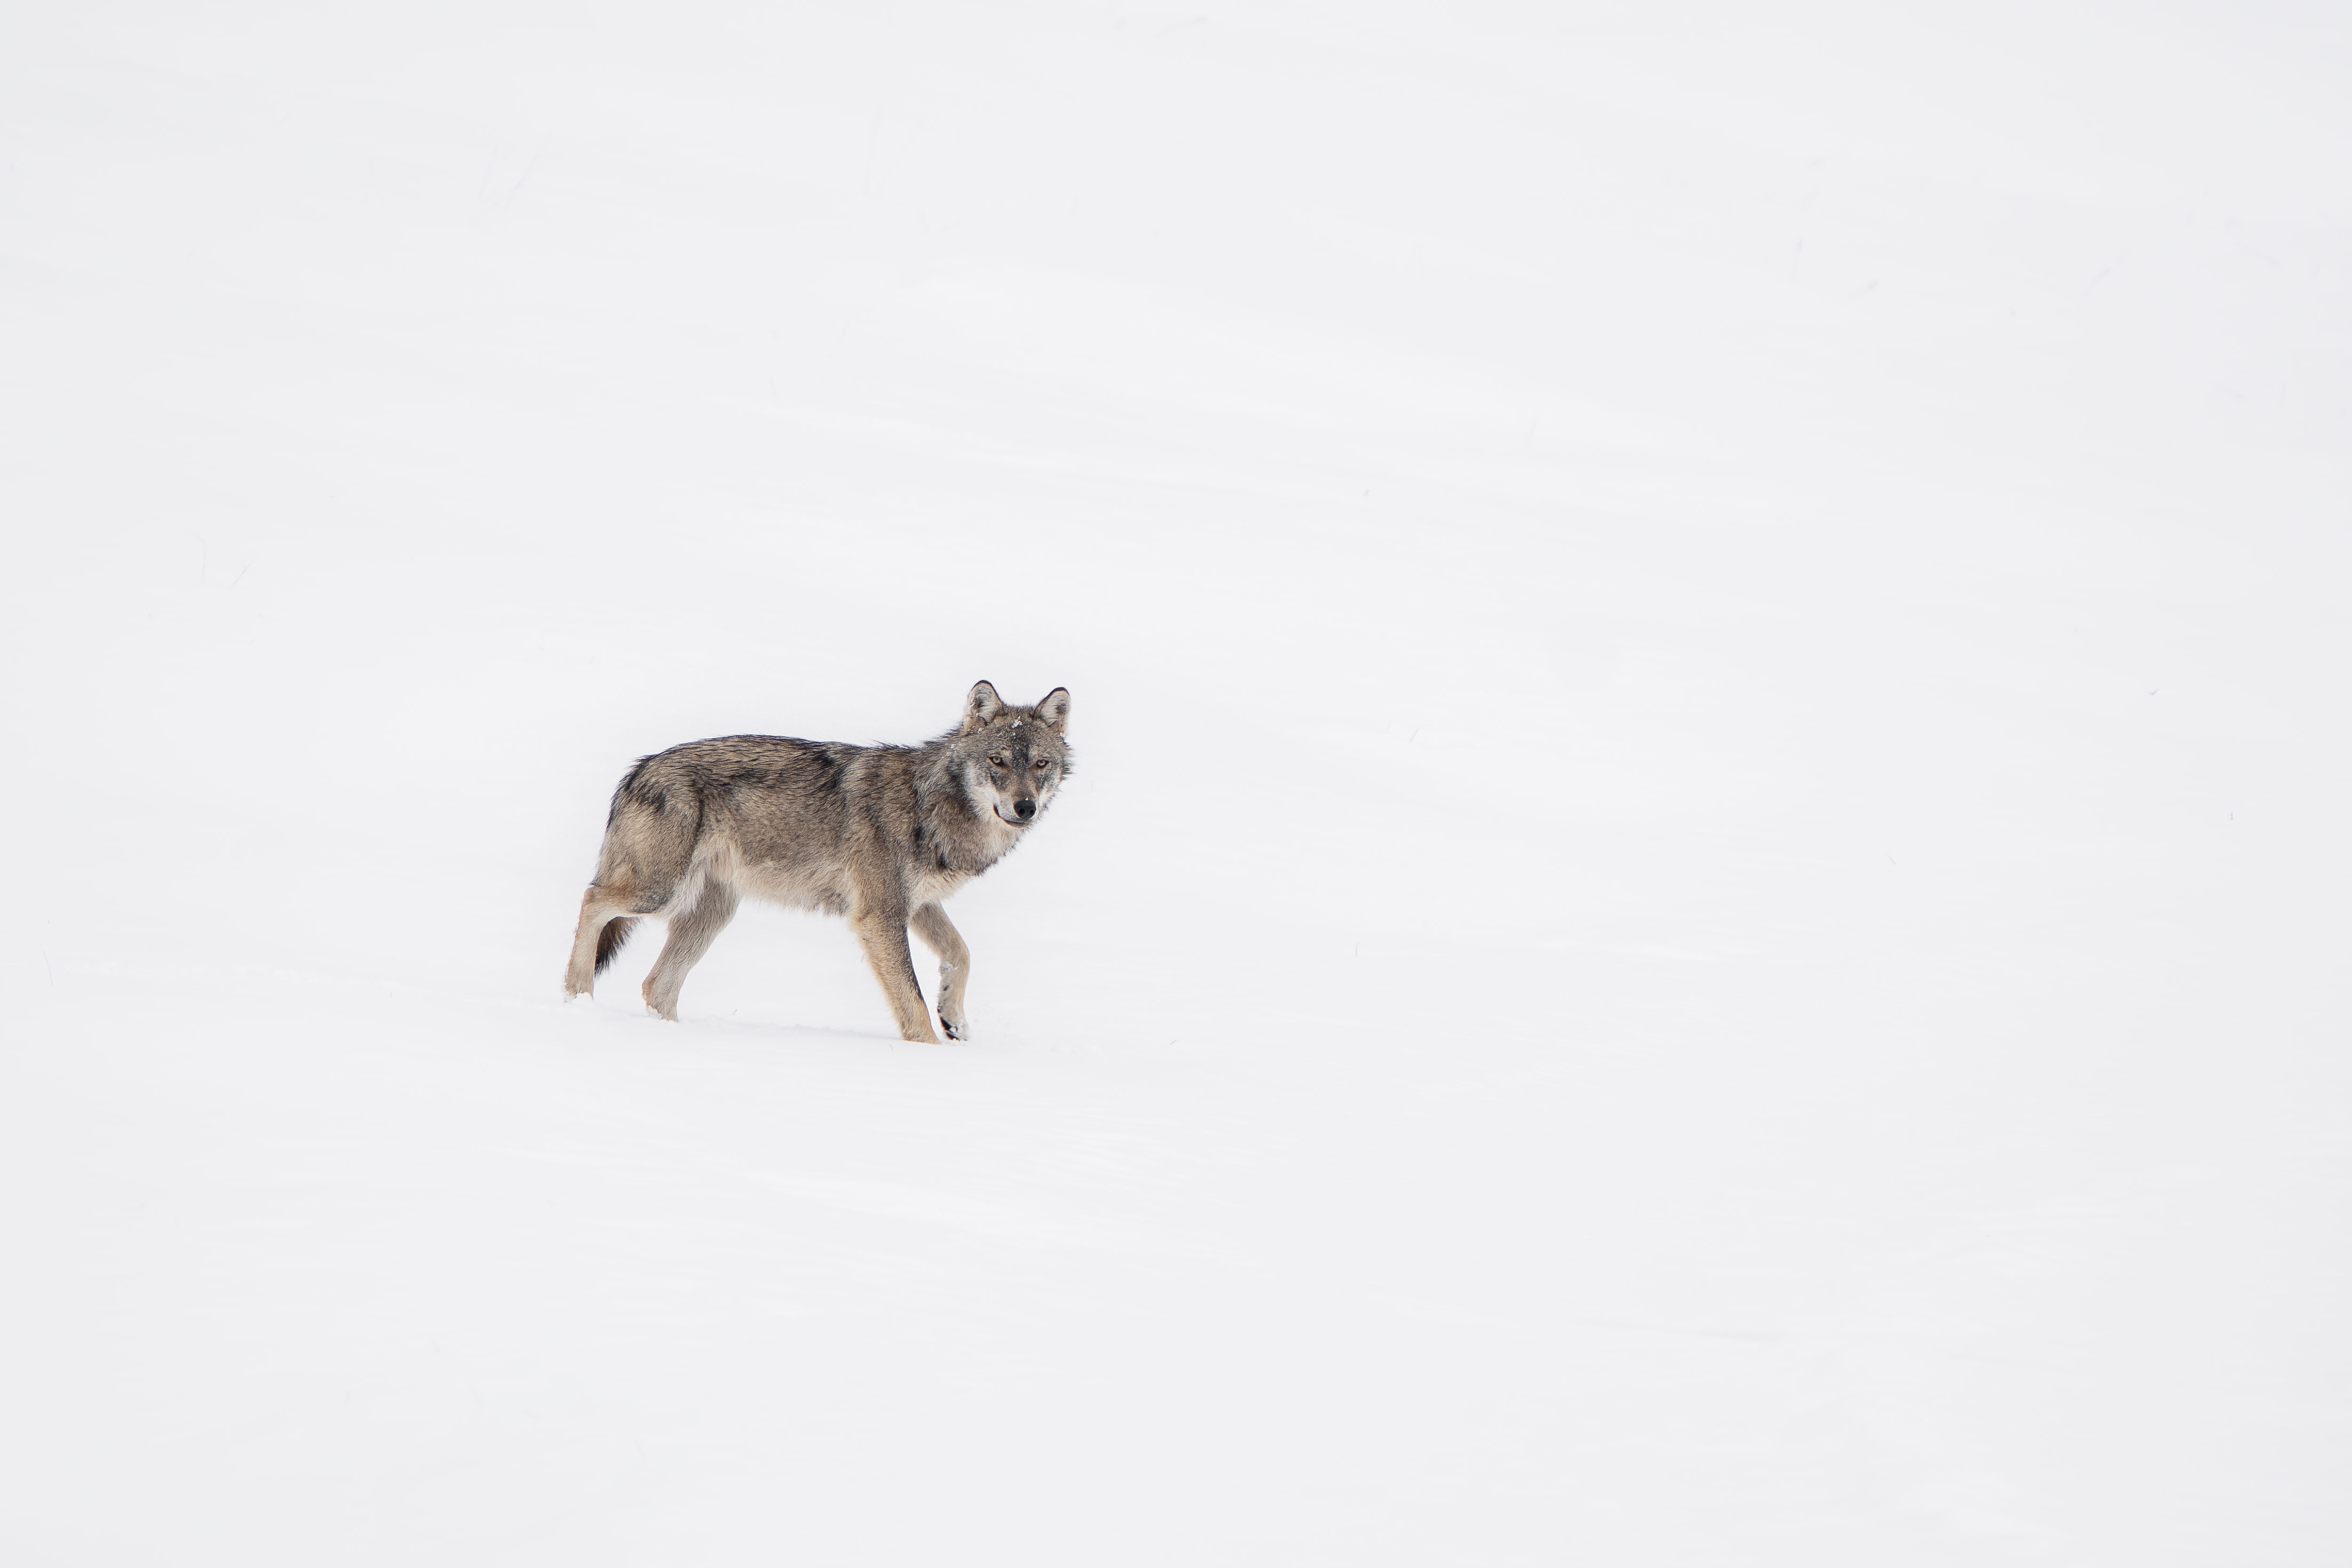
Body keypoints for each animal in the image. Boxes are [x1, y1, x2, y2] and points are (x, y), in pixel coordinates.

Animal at [563, 681, 1071, 1042]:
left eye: (1041, 764)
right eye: (998, 761)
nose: (1024, 808)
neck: (931, 805)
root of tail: (639, 768)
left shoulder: (918, 904)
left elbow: (961, 954)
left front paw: (956, 1021)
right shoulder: (879, 915)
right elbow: (913, 1002)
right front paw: (929, 1051)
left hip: (710, 913)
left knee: (656, 987)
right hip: (659, 893)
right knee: (592, 900)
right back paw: (577, 997)